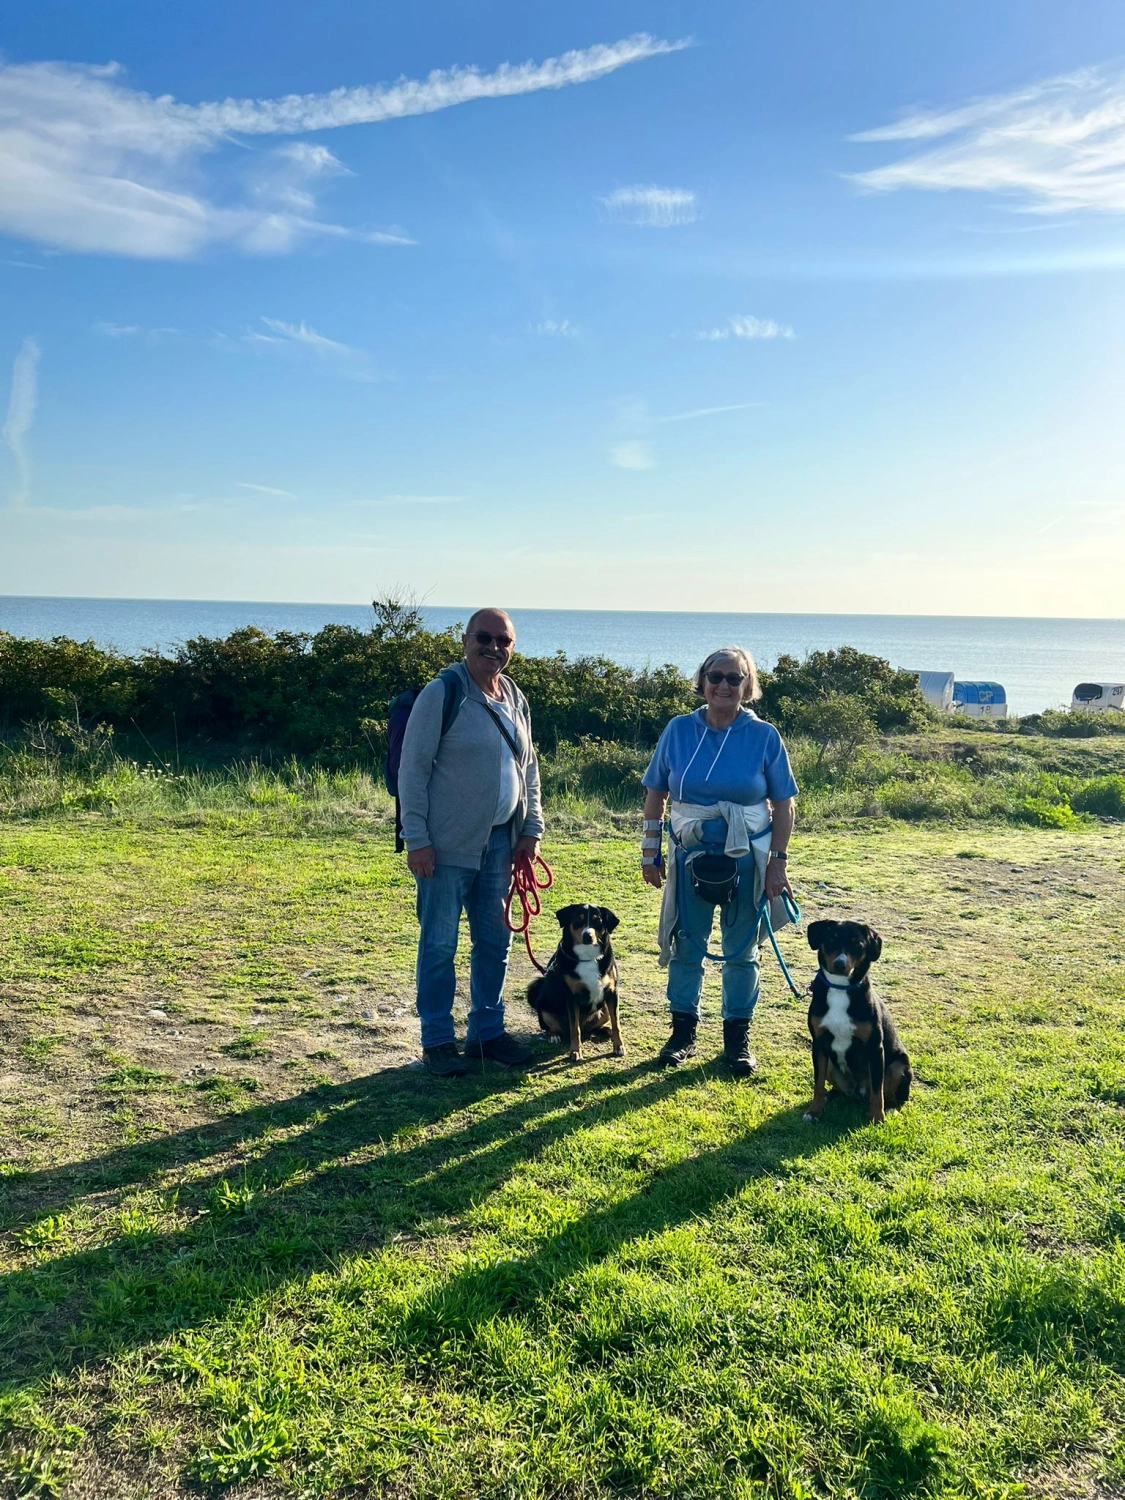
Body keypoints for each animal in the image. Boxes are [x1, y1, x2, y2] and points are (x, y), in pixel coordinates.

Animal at [528, 900, 627, 1068]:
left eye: (597, 920)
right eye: (578, 919)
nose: (588, 935)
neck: (587, 958)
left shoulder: (612, 992)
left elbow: (617, 1024)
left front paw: (618, 1045)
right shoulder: (572, 996)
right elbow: (575, 1029)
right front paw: (575, 1052)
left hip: (604, 1009)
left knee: (592, 1027)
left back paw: (605, 1029)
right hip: (544, 1008)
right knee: (555, 1028)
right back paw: (554, 1035)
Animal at [804, 918, 918, 1122]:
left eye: (857, 945)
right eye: (831, 939)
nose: (840, 964)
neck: (840, 989)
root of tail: (858, 1091)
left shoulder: (875, 1048)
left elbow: (877, 1092)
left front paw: (877, 1117)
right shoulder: (819, 1045)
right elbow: (818, 1084)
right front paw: (814, 1111)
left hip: (898, 1065)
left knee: (891, 1095)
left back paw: (890, 1108)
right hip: (832, 1066)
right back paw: (831, 1096)